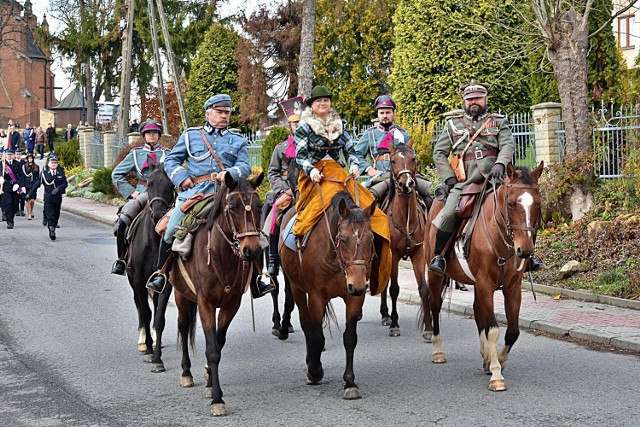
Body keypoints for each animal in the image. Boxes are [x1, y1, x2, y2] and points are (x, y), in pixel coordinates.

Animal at [169, 172, 264, 416]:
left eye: (259, 206)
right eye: (232, 207)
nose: (251, 250)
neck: (222, 255)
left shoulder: (231, 304)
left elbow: (217, 344)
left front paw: (211, 383)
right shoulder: (205, 303)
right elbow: (212, 349)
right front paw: (217, 399)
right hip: (181, 295)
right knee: (183, 326)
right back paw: (186, 373)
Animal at [278, 194, 376, 402]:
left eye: (371, 239)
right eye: (344, 239)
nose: (358, 285)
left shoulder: (354, 298)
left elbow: (350, 338)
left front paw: (350, 382)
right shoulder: (316, 296)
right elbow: (316, 336)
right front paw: (314, 371)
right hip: (296, 287)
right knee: (306, 324)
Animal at [378, 141, 428, 338]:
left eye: (413, 158)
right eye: (393, 161)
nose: (406, 183)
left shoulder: (418, 254)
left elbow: (423, 288)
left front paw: (429, 328)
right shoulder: (393, 254)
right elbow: (394, 289)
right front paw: (395, 324)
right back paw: (386, 316)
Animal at [422, 162, 544, 392]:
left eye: (538, 204)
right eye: (511, 204)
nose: (524, 251)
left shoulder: (512, 287)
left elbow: (512, 331)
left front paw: (496, 361)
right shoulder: (486, 283)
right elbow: (493, 330)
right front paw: (496, 374)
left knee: (478, 310)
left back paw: (485, 354)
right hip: (435, 275)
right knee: (435, 306)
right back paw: (437, 351)